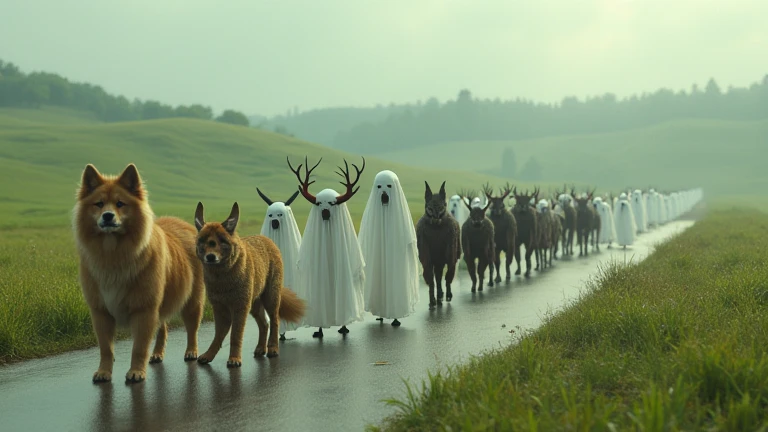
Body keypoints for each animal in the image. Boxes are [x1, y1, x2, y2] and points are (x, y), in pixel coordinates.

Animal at [71, 164, 204, 384]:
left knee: (192, 329)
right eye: (99, 204)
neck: (113, 255)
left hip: (192, 302)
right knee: (163, 328)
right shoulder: (101, 312)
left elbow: (139, 347)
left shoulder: (144, 309)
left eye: (120, 203)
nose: (108, 216)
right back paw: (157, 354)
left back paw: (191, 352)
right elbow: (106, 348)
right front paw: (104, 372)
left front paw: (136, 372)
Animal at [192, 201, 306, 366]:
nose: (210, 257)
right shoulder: (219, 308)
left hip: (270, 298)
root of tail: (267, 240)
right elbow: (218, 335)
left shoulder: (240, 307)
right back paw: (260, 348)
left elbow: (235, 335)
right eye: (203, 241)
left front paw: (234, 359)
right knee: (264, 324)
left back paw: (272, 348)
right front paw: (209, 355)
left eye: (221, 240)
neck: (222, 278)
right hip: (255, 304)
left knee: (274, 321)